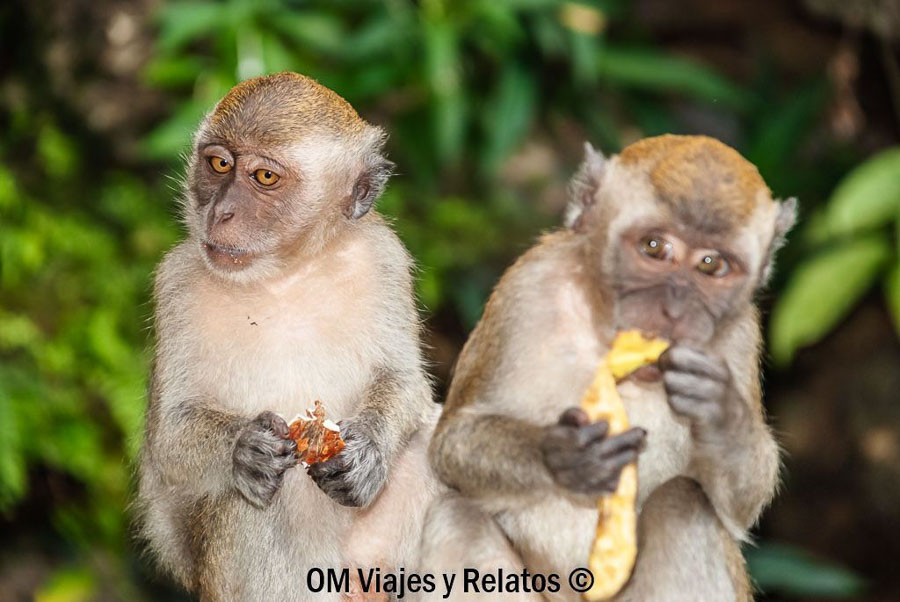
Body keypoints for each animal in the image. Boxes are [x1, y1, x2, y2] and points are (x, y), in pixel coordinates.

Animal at [135, 72, 440, 601]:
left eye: (264, 178)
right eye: (219, 164)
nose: (221, 213)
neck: (284, 275)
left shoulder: (384, 257)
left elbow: (405, 382)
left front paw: (368, 453)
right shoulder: (176, 283)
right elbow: (169, 438)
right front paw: (245, 447)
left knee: (428, 448)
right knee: (250, 504)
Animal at [421, 135, 796, 601]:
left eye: (712, 264)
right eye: (654, 247)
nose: (674, 312)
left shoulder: (741, 336)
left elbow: (741, 508)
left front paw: (722, 414)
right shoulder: (526, 288)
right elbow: (453, 442)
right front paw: (562, 456)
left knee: (683, 506)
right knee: (457, 516)